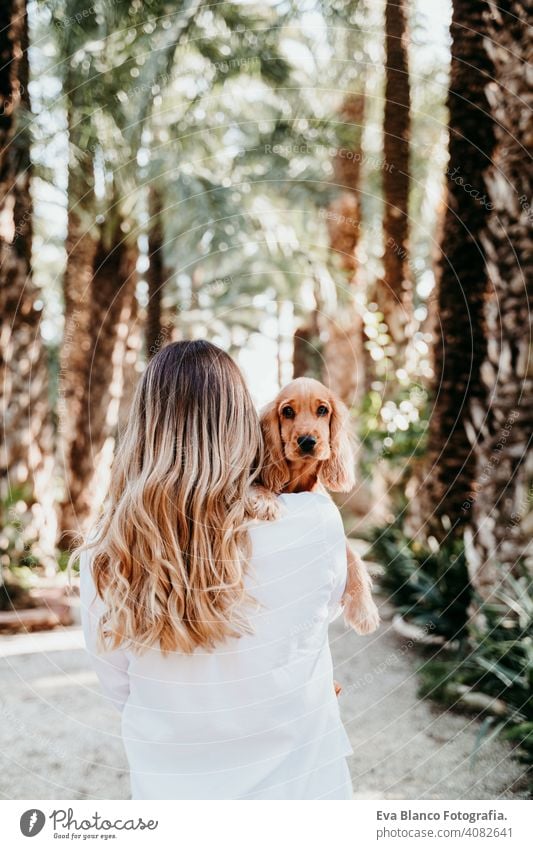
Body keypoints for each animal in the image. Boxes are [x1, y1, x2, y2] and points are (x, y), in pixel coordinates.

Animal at [256, 378, 378, 636]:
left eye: (322, 410)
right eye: (287, 411)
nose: (307, 442)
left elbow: (354, 557)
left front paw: (365, 610)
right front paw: (265, 500)